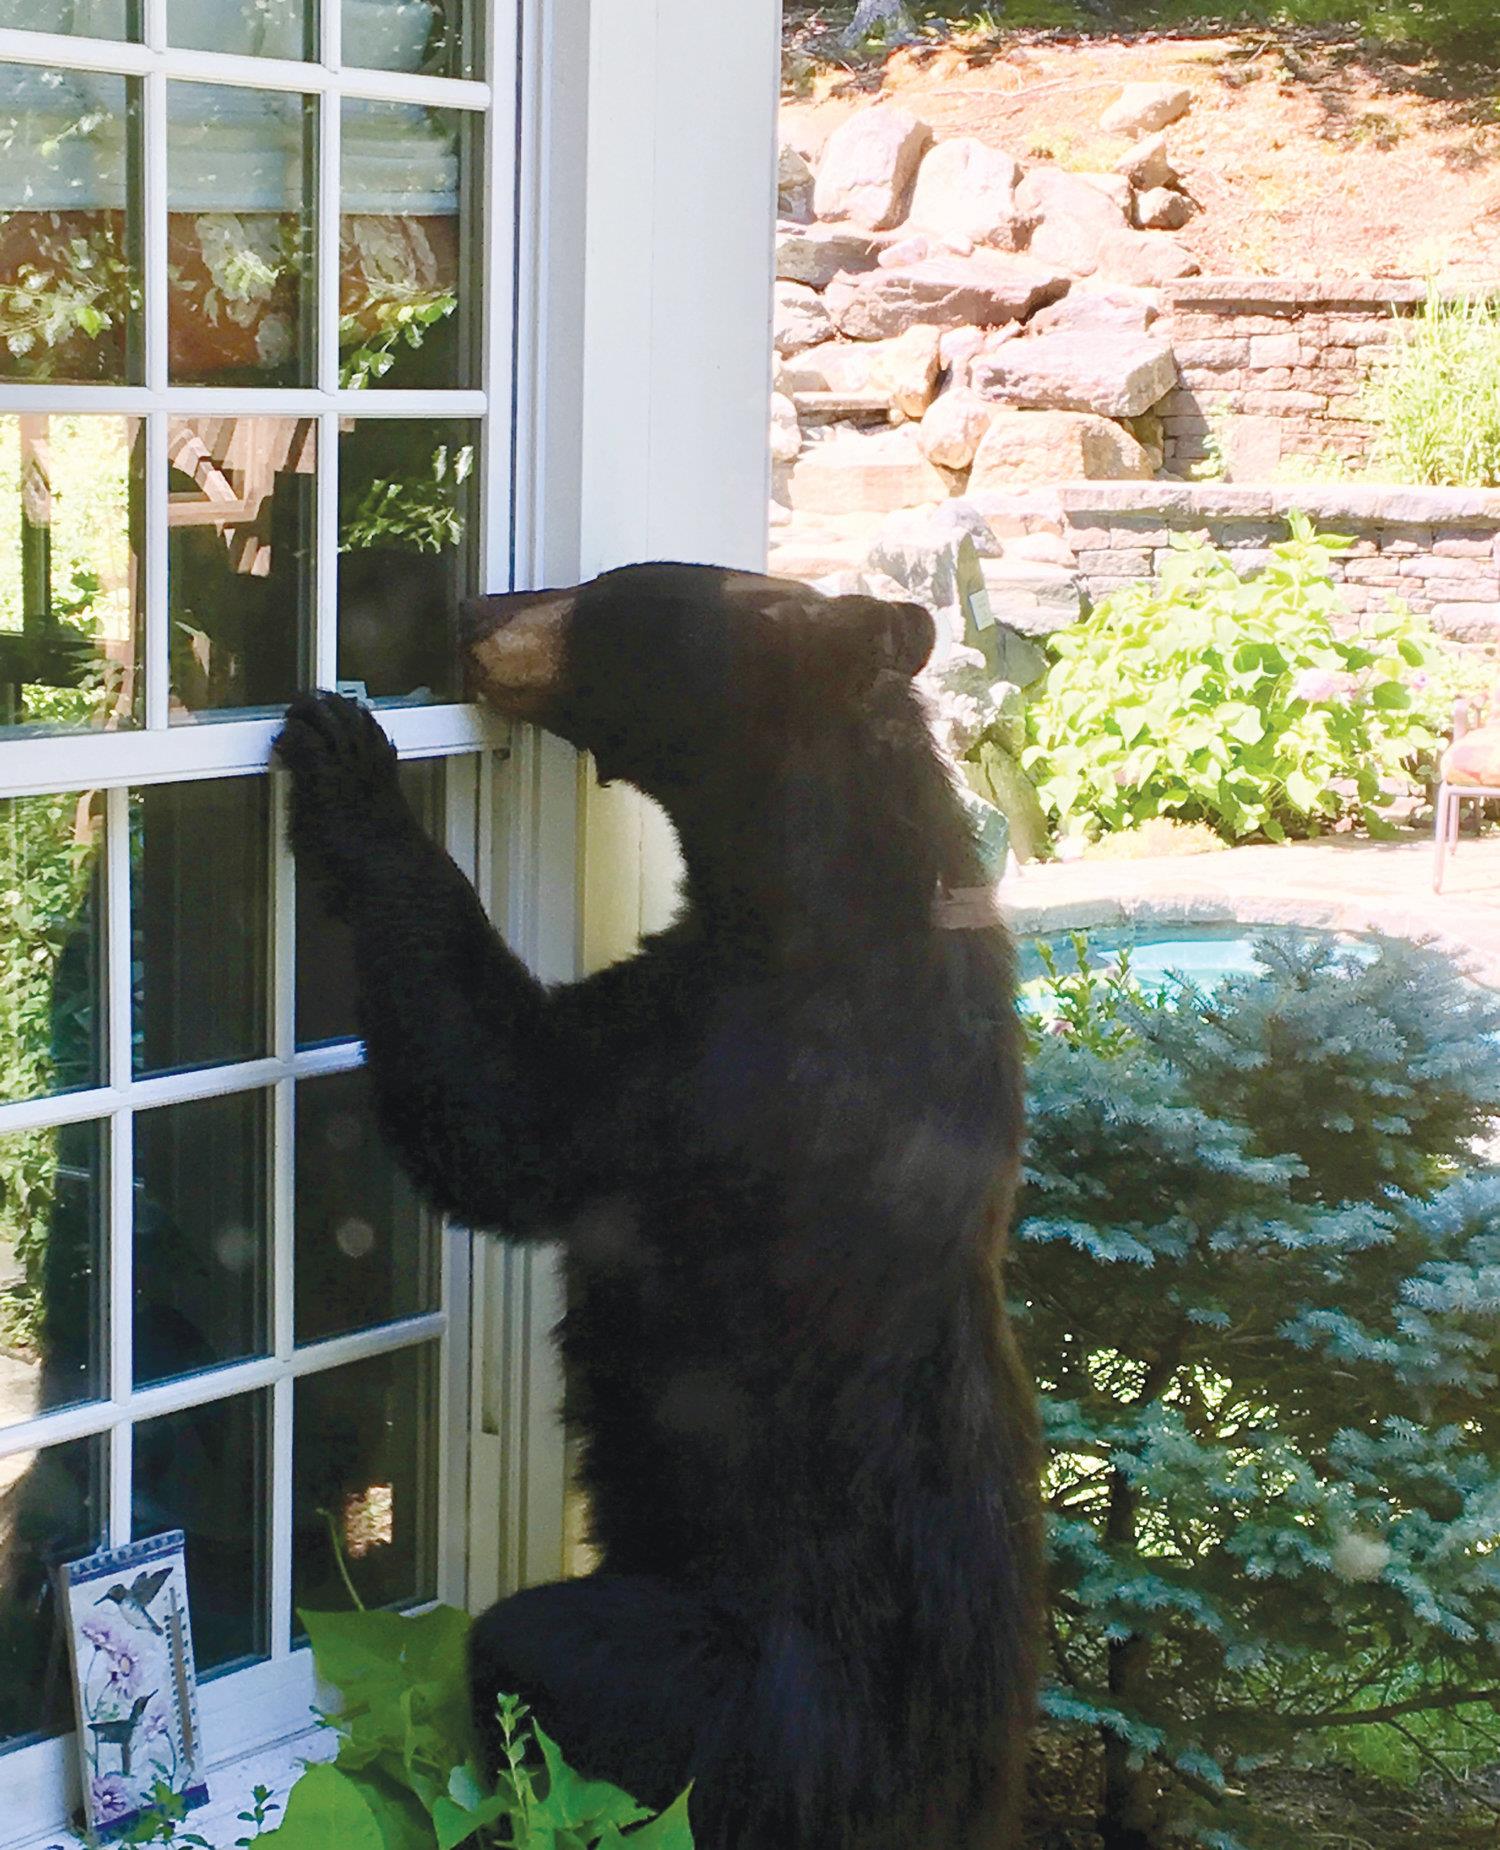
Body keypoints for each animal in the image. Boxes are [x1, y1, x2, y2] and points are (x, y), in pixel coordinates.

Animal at [271, 562, 1043, 1850]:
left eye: (608, 598)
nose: (471, 610)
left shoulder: (718, 1064)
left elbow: (506, 1107)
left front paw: (349, 761)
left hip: (719, 1687)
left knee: (543, 1664)